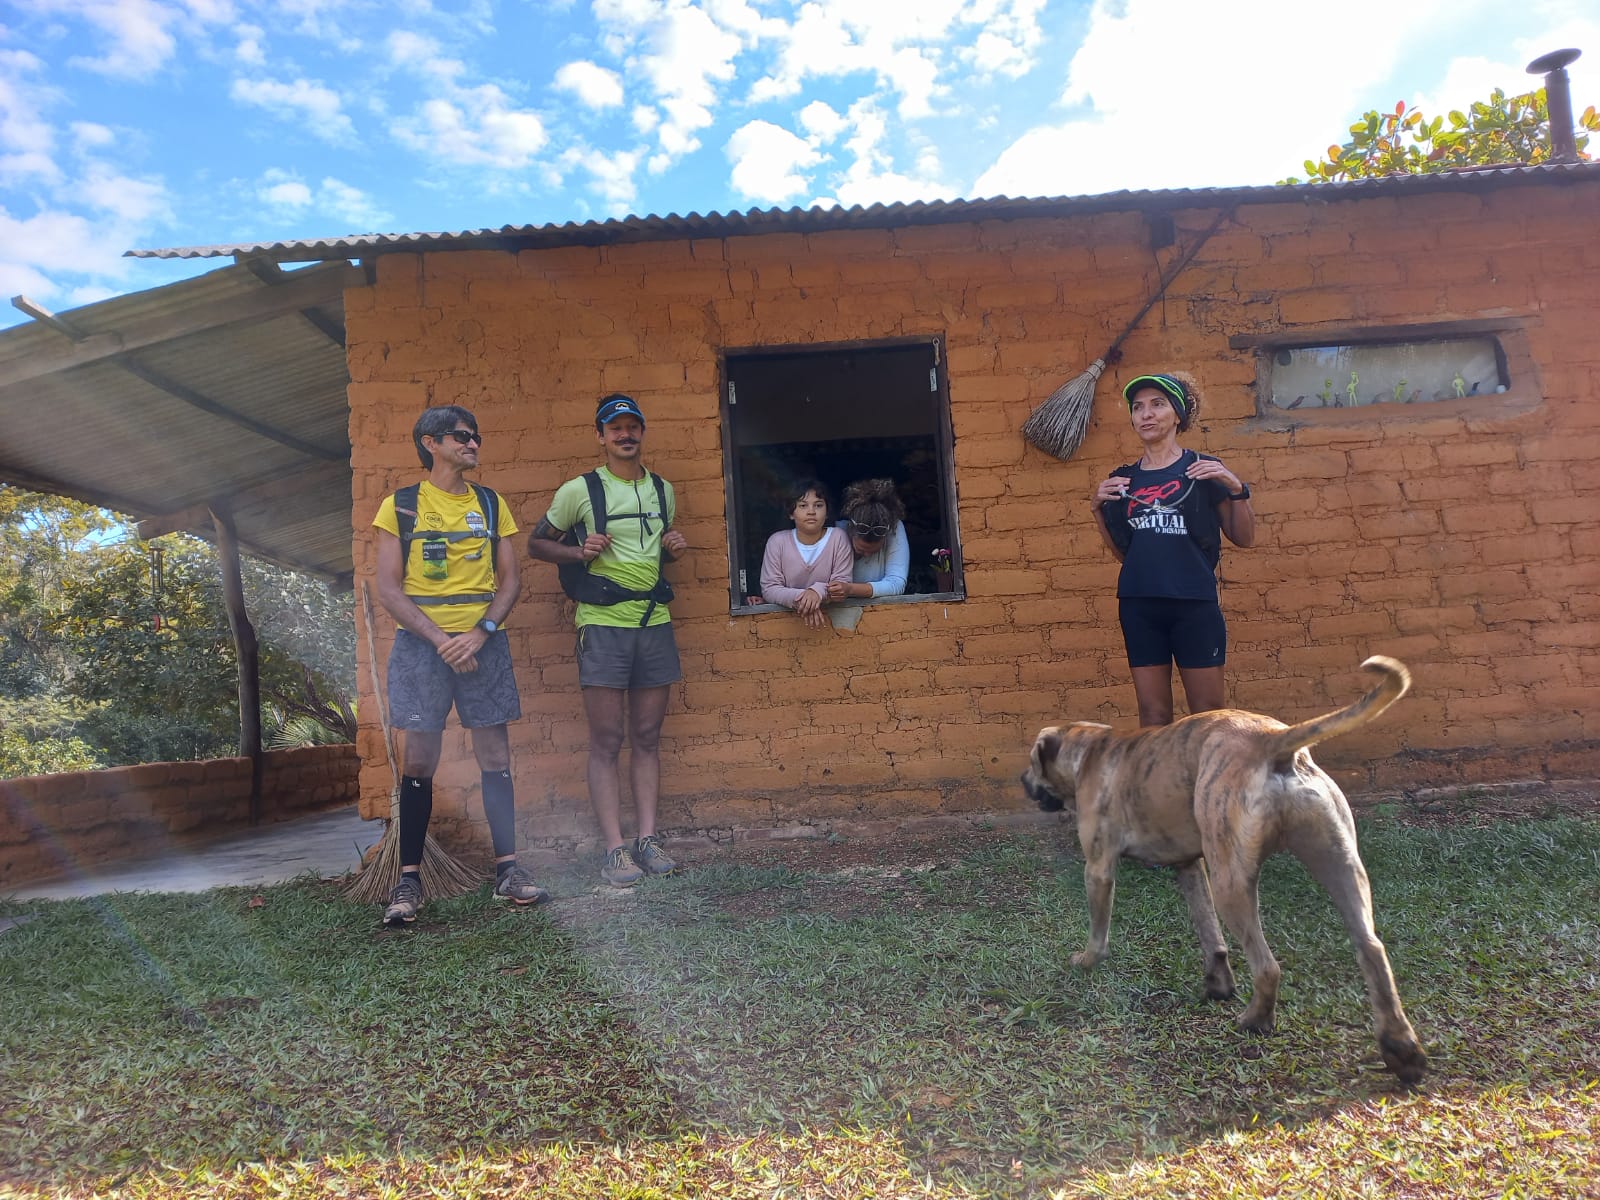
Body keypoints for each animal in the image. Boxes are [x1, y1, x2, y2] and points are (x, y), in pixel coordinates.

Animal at [1030, 659, 1433, 1088]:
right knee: (1371, 948)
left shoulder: (1099, 869)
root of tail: (1273, 741)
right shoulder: (1191, 866)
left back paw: (1257, 1020)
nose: (1023, 783)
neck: (1090, 750)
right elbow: (1210, 935)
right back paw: (1401, 1048)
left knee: (1268, 966)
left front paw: (1088, 959)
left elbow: (1099, 929)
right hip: (1340, 866)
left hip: (1232, 886)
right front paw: (1218, 984)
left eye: (1030, 765)